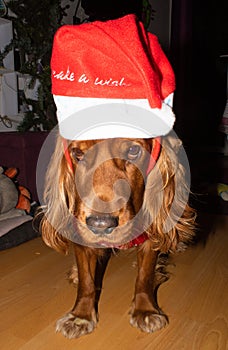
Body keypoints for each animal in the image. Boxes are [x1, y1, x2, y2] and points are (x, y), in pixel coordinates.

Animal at [36, 132, 196, 340]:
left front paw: (145, 310)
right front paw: (80, 316)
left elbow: (144, 275)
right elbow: (86, 281)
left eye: (133, 150)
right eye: (78, 153)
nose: (100, 224)